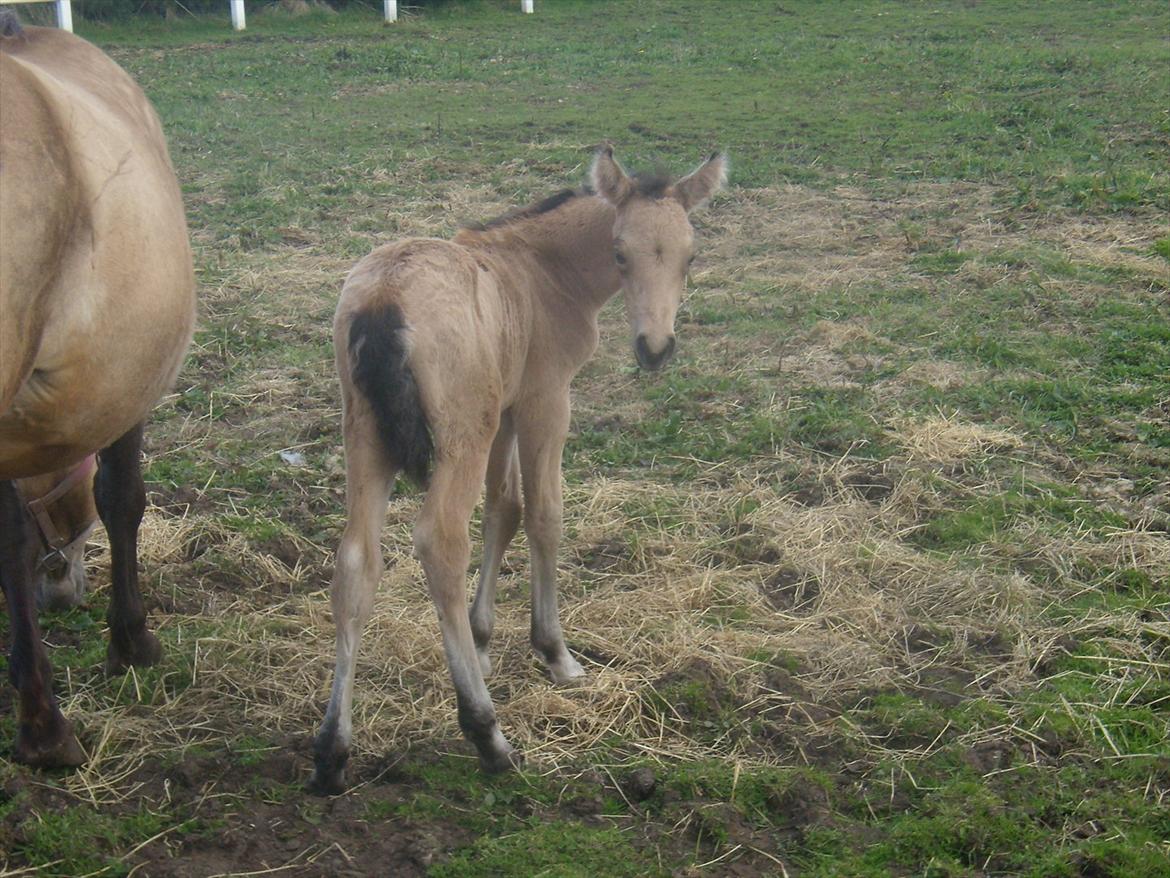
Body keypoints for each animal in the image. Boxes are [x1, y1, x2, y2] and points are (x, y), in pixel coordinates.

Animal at [315, 144, 725, 791]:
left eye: (690, 255)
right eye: (619, 252)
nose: (655, 349)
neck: (540, 272)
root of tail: (384, 300)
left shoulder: (506, 411)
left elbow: (503, 509)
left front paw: (483, 640)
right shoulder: (544, 401)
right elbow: (543, 515)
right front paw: (554, 652)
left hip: (366, 434)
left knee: (356, 562)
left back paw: (333, 749)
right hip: (461, 435)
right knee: (440, 542)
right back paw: (487, 734)